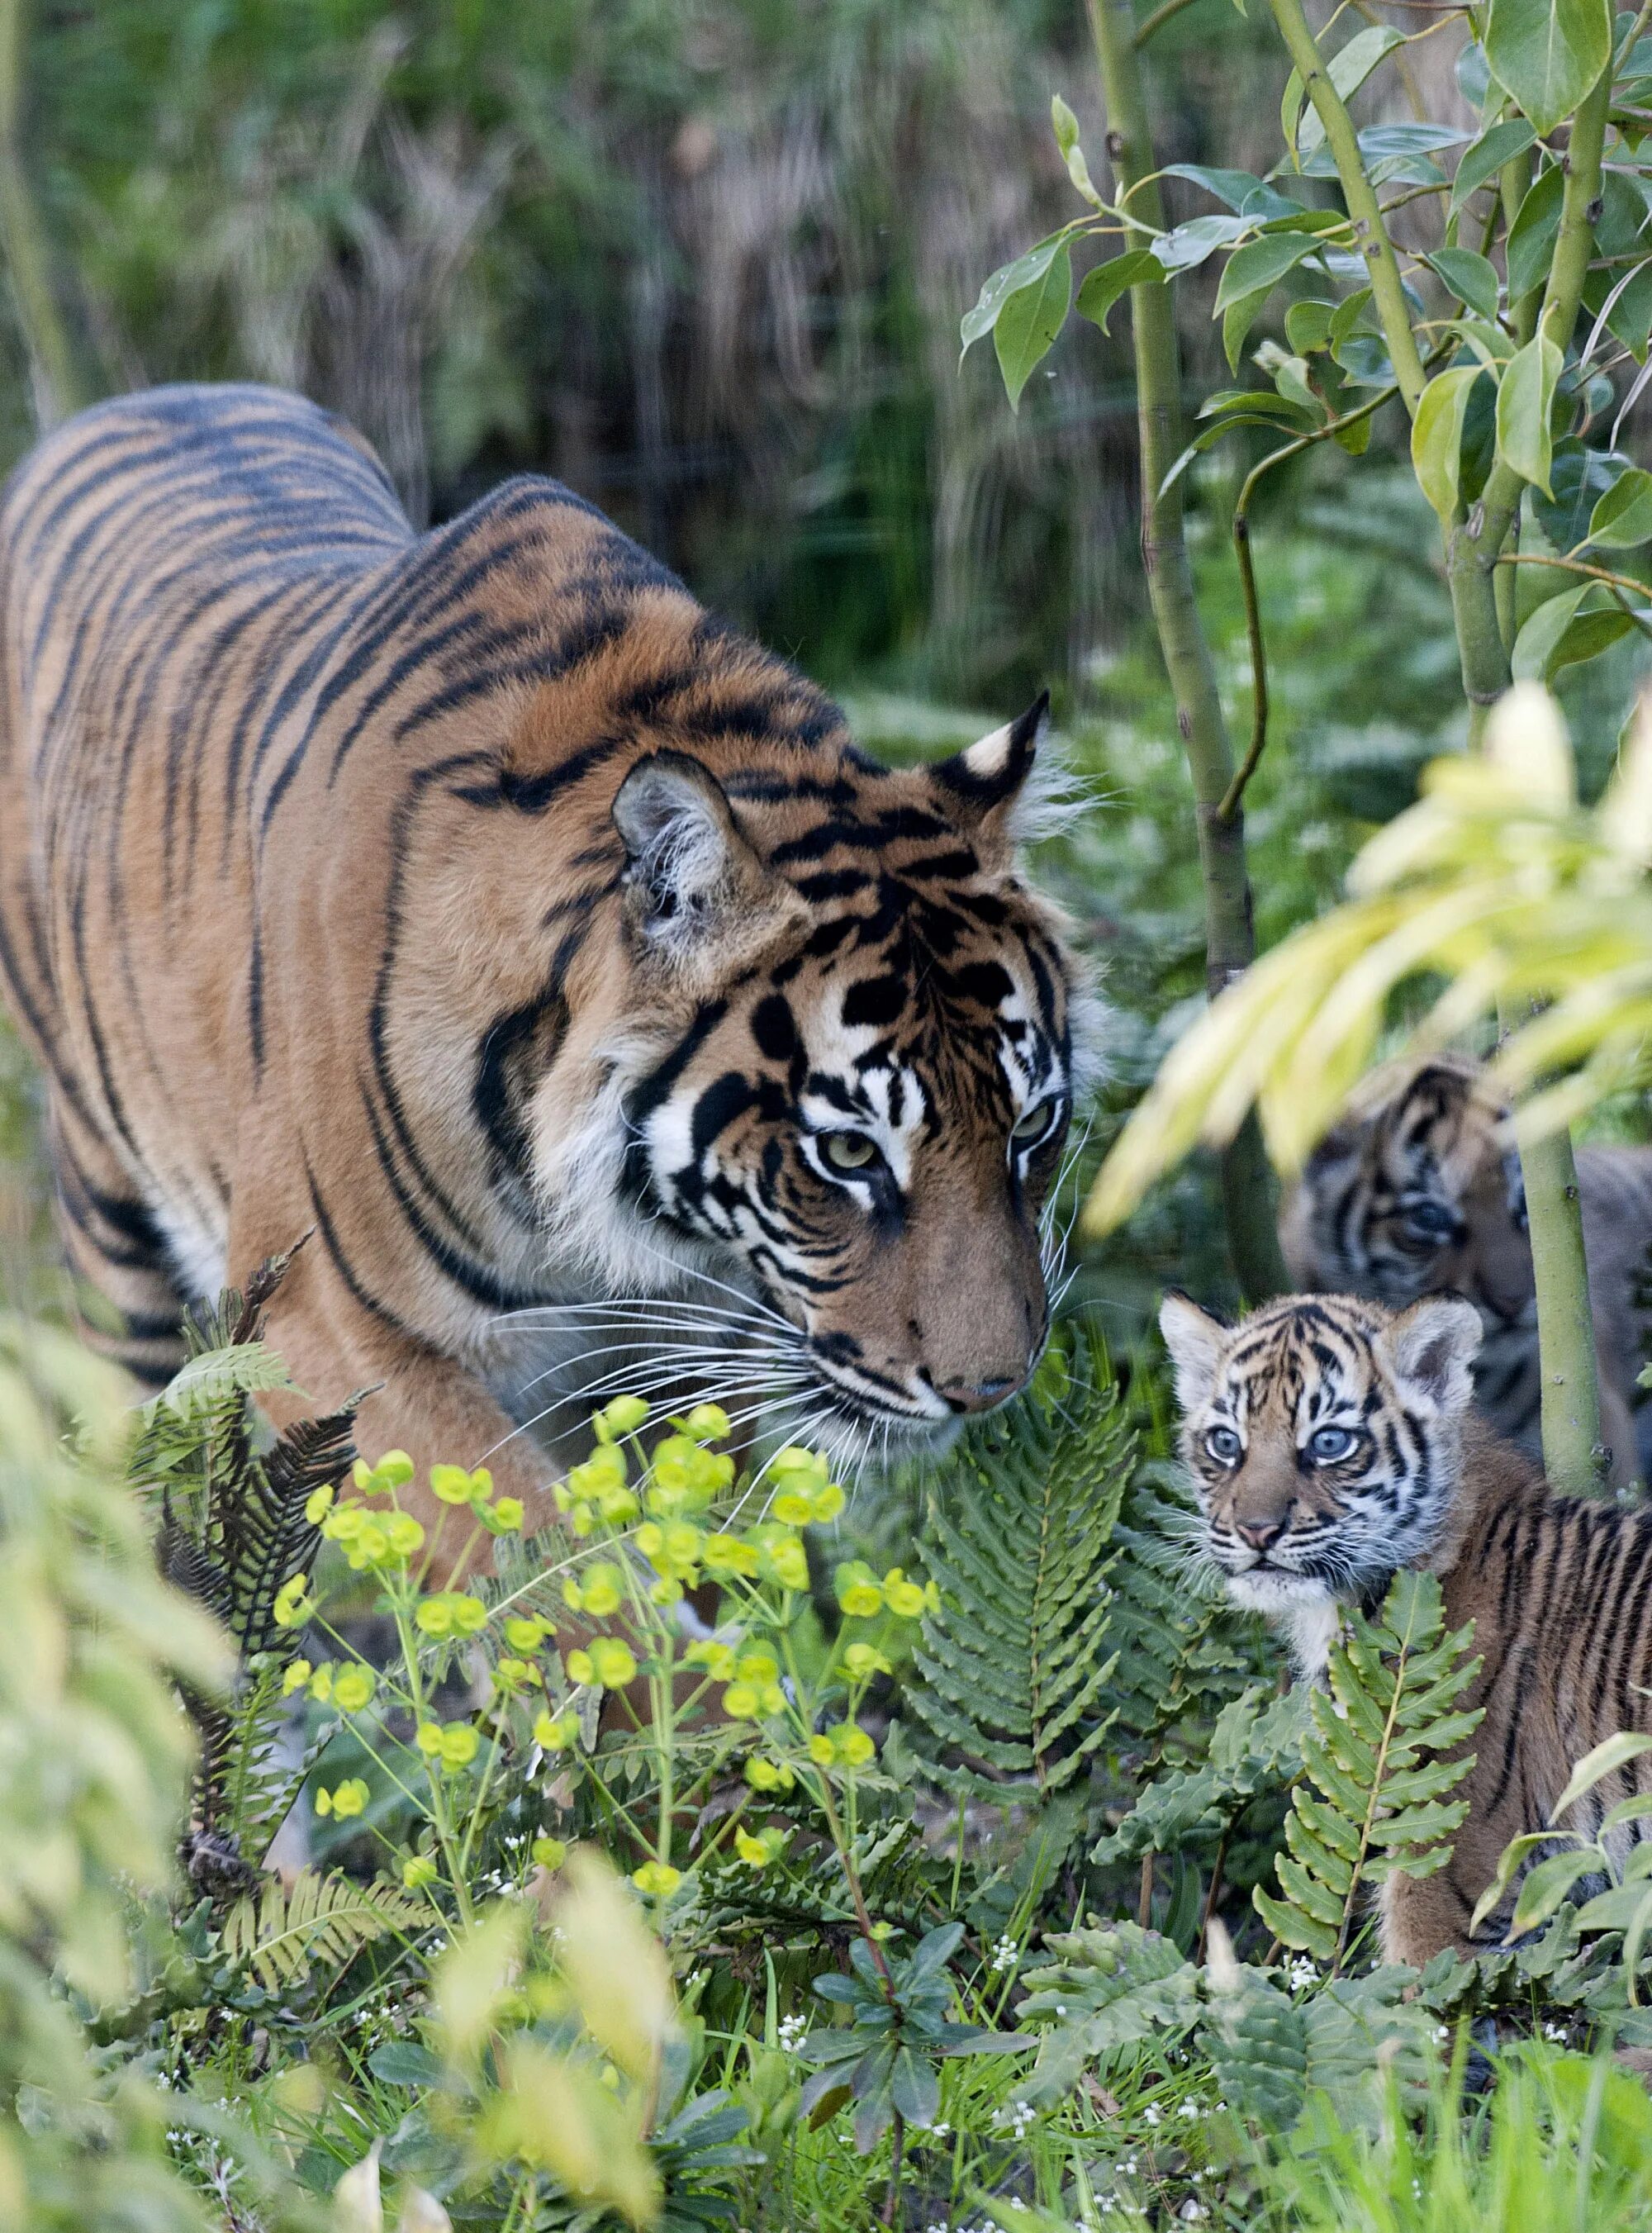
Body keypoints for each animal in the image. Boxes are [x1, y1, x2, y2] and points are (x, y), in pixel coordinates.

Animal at [0, 388, 1098, 1536]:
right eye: (844, 1154)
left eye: (1031, 1128)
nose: (989, 1388)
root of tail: (150, 400)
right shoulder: (326, 1320)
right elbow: (530, 1561)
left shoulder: (673, 1355)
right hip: (113, 1237)